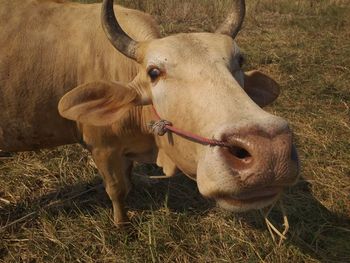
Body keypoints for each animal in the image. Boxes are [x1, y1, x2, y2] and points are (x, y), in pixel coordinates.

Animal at [0, 0, 298, 227]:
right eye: (154, 72)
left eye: (239, 60)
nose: (269, 151)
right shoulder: (102, 148)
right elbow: (116, 189)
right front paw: (122, 223)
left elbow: (128, 179)